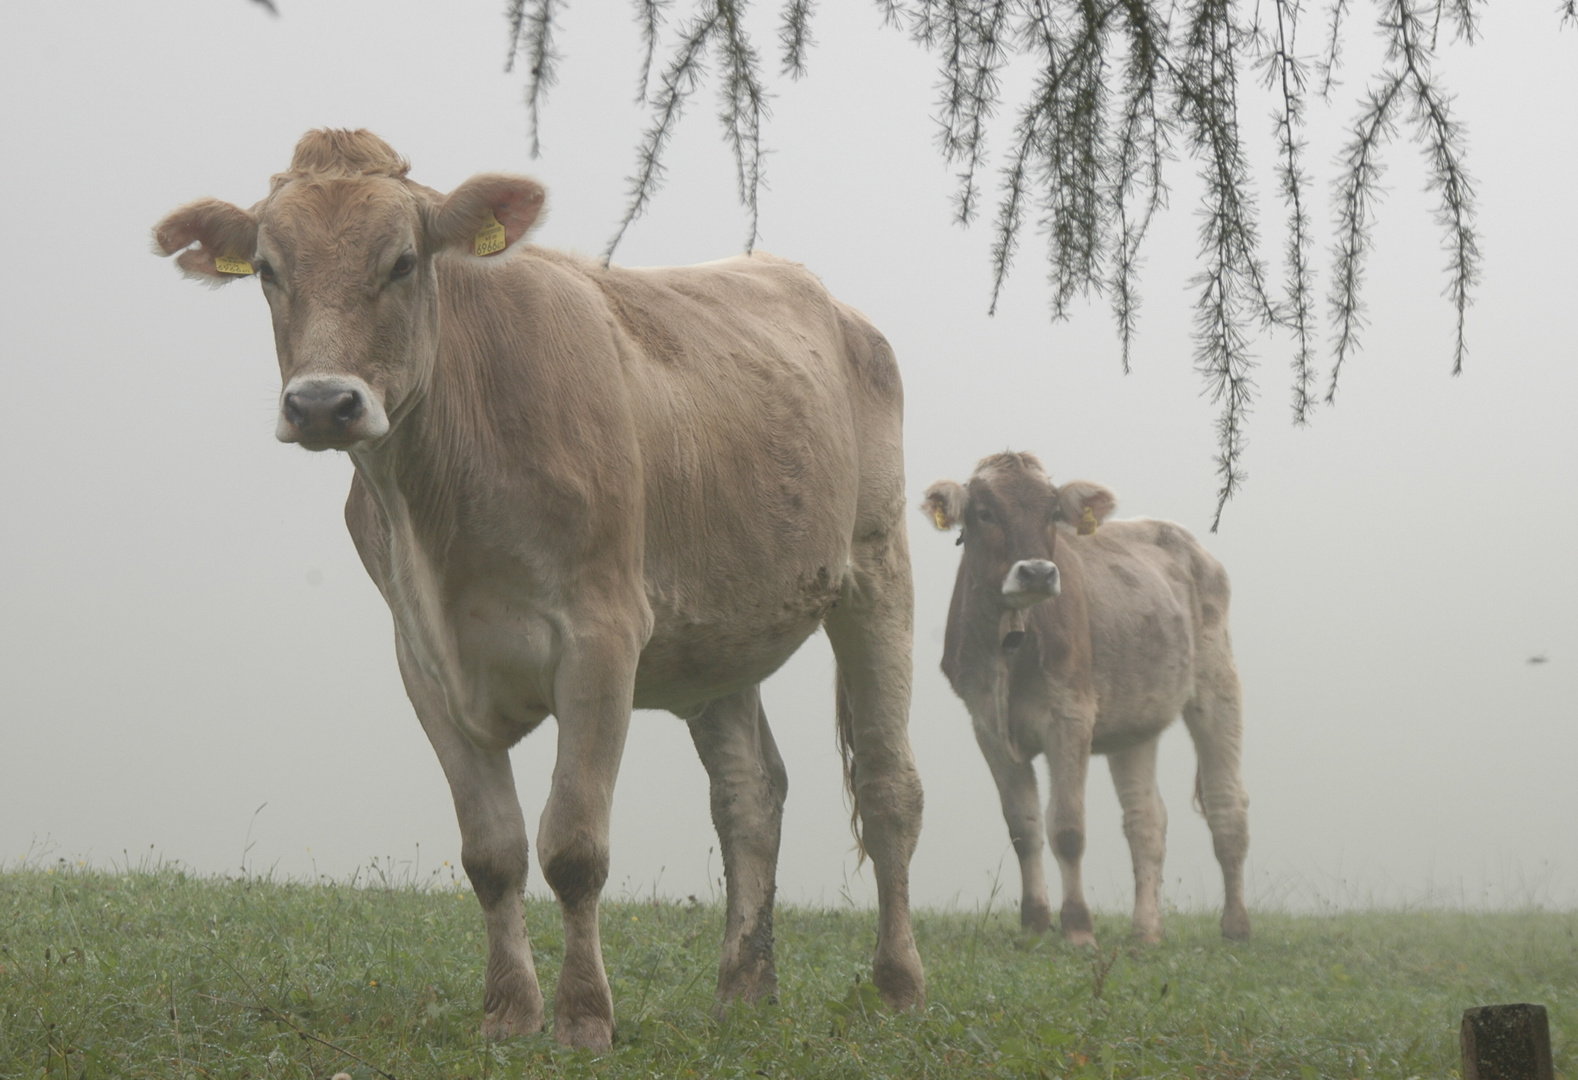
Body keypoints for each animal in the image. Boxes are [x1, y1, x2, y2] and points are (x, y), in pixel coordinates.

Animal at [153, 126, 921, 1048]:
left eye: (403, 261)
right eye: (268, 268)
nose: (323, 404)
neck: (443, 511)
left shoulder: (602, 638)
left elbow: (573, 847)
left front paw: (584, 1017)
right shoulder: (424, 662)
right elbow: (492, 852)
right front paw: (508, 1013)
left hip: (877, 566)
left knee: (887, 787)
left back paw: (898, 986)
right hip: (715, 632)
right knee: (749, 795)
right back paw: (742, 989)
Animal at [921, 454, 1243, 947]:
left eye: (1053, 512)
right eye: (985, 513)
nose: (1037, 572)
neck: (1010, 646)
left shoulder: (1069, 715)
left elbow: (1067, 829)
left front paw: (1077, 928)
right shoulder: (987, 726)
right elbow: (1023, 829)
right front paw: (1035, 921)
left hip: (1217, 680)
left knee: (1227, 803)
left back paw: (1236, 924)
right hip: (1136, 720)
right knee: (1146, 821)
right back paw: (1145, 931)